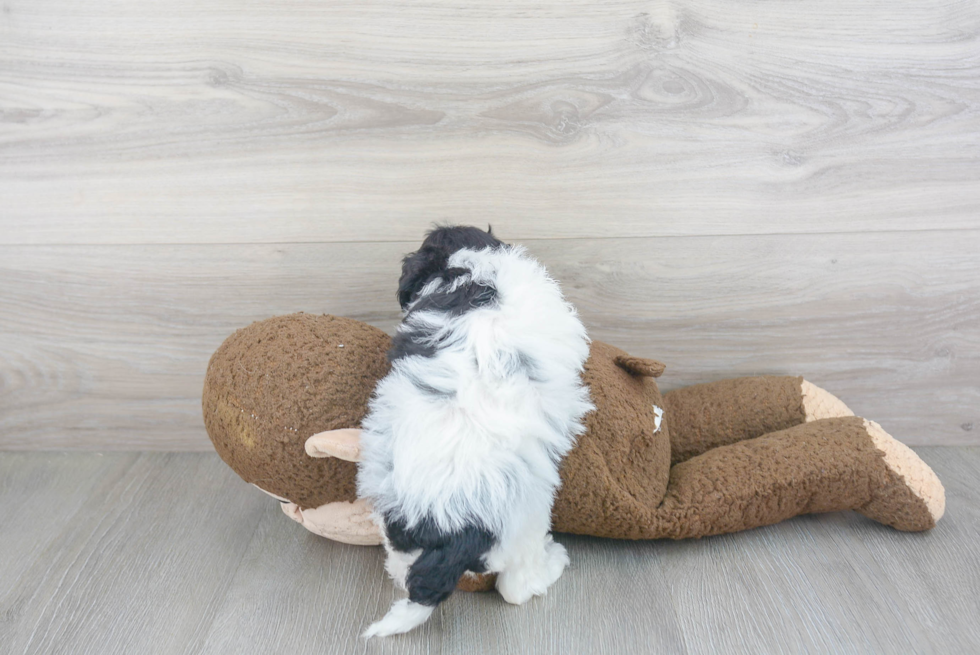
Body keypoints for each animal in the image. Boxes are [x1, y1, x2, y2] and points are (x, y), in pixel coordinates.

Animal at [356, 227, 592, 640]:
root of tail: (453, 527)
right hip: (525, 520)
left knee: (406, 568)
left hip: (398, 520)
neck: (470, 268)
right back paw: (553, 561)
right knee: (516, 587)